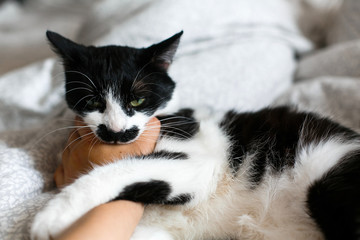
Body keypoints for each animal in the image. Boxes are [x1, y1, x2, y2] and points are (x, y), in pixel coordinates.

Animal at [30, 31, 360, 240]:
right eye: (93, 102)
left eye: (137, 100)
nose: (116, 132)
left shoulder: (199, 164)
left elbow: (117, 169)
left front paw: (54, 215)